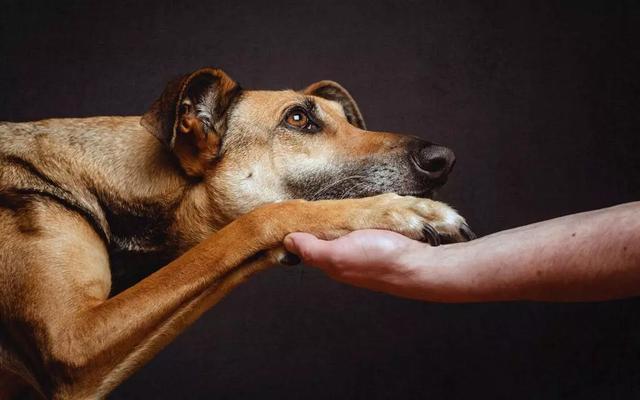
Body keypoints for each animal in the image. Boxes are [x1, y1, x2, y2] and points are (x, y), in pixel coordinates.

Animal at [0, 67, 470, 398]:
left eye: (349, 121)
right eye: (298, 118)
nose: (443, 158)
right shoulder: (72, 342)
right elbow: (259, 220)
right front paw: (399, 210)